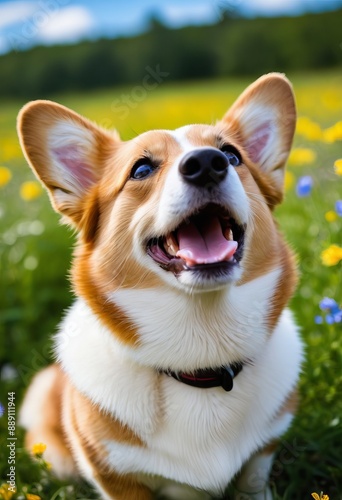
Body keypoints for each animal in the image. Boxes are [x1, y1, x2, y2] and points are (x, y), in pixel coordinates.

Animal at [18, 72, 302, 498]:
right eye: (140, 169)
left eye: (233, 156)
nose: (208, 164)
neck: (202, 354)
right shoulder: (116, 476)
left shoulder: (263, 450)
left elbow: (253, 479)